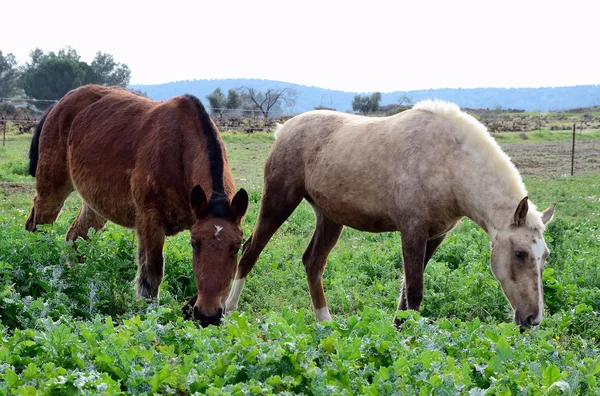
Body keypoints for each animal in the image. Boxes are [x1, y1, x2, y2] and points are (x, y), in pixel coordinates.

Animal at [24, 85, 247, 326]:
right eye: (194, 244)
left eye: (236, 247)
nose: (208, 315)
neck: (178, 147)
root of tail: (60, 103)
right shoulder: (150, 221)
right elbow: (151, 273)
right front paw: (149, 316)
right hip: (51, 191)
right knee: (37, 227)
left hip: (95, 207)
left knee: (75, 239)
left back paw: (77, 282)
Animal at [226, 100, 556, 330]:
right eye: (520, 254)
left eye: (546, 256)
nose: (533, 318)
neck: (450, 162)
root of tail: (284, 129)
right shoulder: (412, 232)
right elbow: (414, 291)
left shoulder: (435, 236)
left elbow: (405, 294)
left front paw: (399, 332)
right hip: (278, 202)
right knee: (251, 251)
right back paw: (228, 310)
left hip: (330, 218)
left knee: (313, 263)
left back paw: (326, 324)